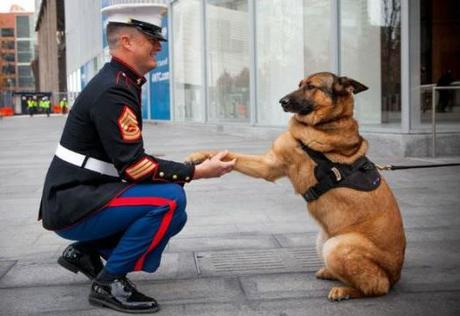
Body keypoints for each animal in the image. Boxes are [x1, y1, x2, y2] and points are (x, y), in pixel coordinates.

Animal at [185, 71, 404, 302]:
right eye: (299, 84)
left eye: (311, 86)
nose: (282, 101)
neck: (328, 122)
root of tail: (395, 275)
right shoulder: (268, 165)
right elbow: (228, 154)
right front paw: (199, 156)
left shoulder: (269, 165)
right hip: (322, 241)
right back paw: (330, 273)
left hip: (336, 246)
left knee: (376, 286)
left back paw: (344, 291)